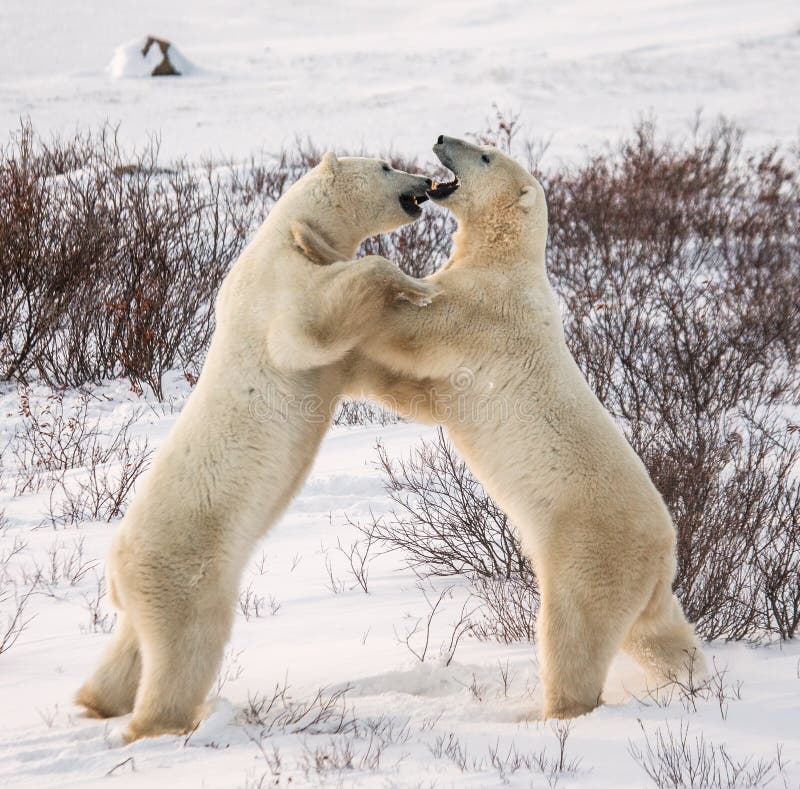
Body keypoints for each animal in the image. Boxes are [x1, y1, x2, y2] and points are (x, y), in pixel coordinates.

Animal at [75, 151, 438, 740]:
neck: (294, 231)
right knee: (184, 645)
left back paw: (95, 702)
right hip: (189, 568)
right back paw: (163, 723)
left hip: (150, 587)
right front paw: (415, 283)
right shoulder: (278, 288)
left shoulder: (332, 348)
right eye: (385, 166)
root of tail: (115, 566)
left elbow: (365, 364)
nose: (426, 181)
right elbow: (313, 323)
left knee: (130, 646)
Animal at [300, 137, 708, 720]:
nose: (442, 138)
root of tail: (664, 552)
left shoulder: (483, 311)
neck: (506, 259)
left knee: (573, 636)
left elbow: (415, 326)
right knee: (663, 636)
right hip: (645, 591)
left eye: (486, 155)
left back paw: (555, 712)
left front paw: (324, 259)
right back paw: (695, 682)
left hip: (586, 556)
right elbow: (422, 395)